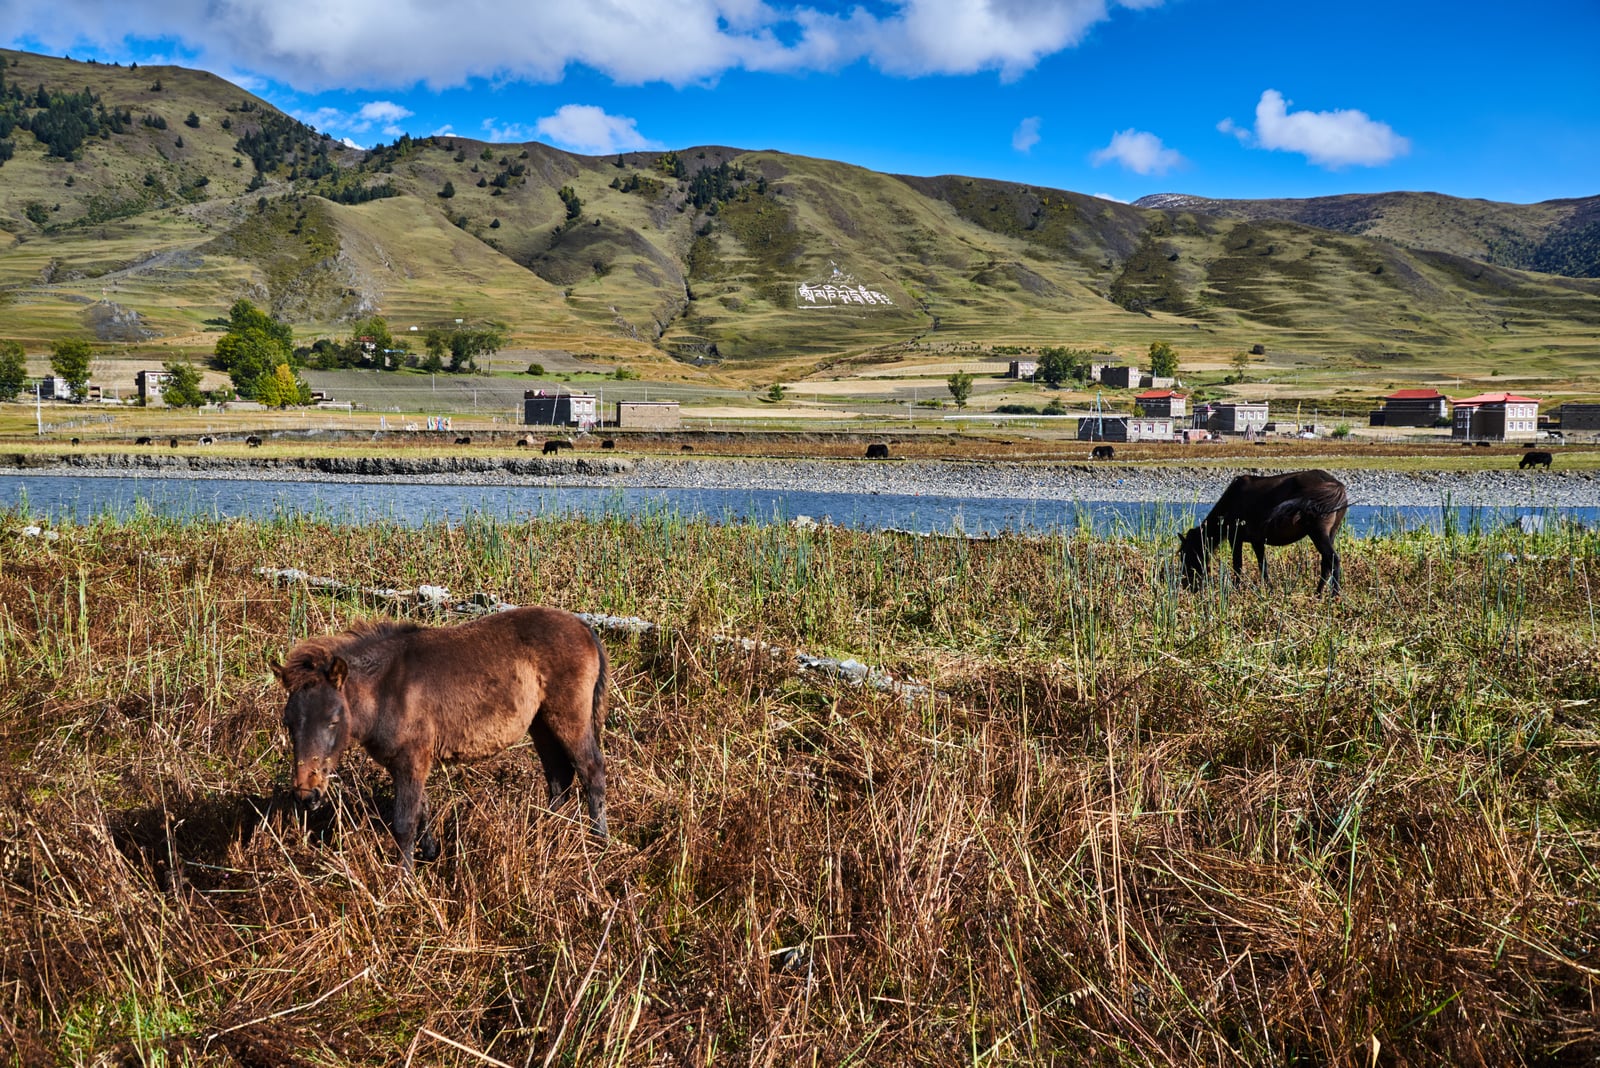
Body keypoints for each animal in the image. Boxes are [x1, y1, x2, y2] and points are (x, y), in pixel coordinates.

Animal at [270, 607, 609, 869]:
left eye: (333, 721)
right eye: (288, 723)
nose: (307, 795)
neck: (387, 690)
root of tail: (582, 626)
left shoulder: (411, 761)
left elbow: (404, 823)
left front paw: (404, 883)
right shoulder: (408, 763)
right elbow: (422, 808)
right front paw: (431, 855)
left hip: (568, 717)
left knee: (591, 770)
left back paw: (599, 842)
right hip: (540, 724)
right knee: (558, 778)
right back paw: (548, 835)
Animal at [1180, 469, 1349, 595]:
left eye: (1186, 555)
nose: (1186, 586)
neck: (1231, 502)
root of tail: (1337, 486)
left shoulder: (1235, 538)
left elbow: (1238, 565)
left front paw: (1236, 591)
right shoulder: (1257, 541)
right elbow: (1263, 566)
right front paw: (1269, 590)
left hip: (1318, 532)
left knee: (1333, 559)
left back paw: (1334, 595)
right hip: (1331, 532)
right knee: (1326, 563)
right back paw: (1318, 594)